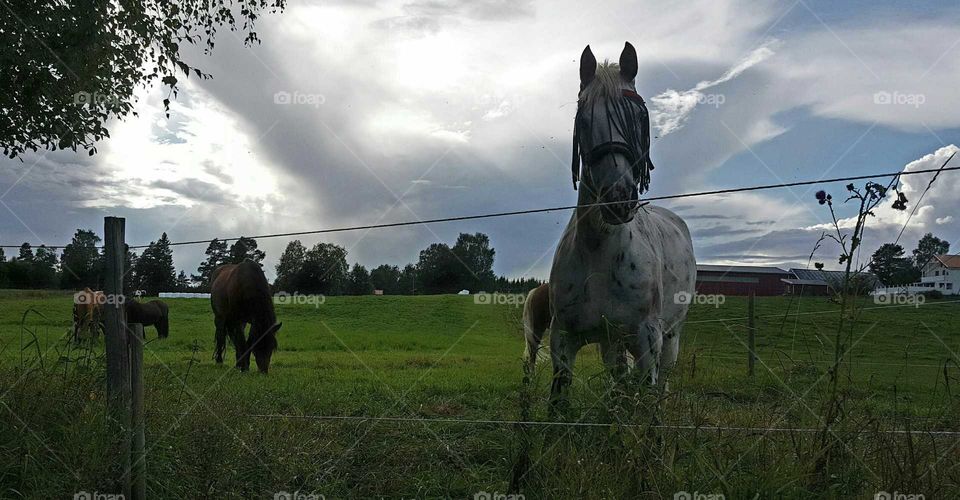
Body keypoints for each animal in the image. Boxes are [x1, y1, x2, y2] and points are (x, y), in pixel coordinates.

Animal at [547, 42, 696, 406]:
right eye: (584, 119)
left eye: (640, 117)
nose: (617, 198)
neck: (598, 250)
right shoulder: (563, 341)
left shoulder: (647, 340)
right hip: (610, 342)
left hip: (670, 337)